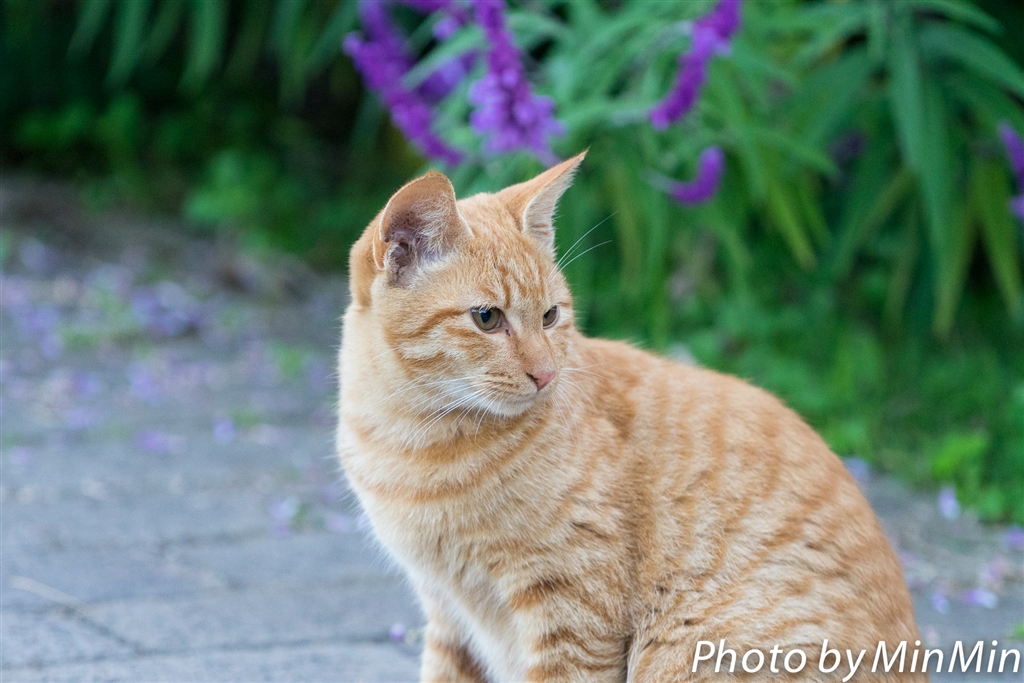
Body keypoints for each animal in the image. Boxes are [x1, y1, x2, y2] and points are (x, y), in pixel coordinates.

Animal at [336, 152, 925, 682]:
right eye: (486, 318)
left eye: (550, 316)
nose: (545, 374)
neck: (413, 441)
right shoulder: (447, 612)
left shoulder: (572, 609)